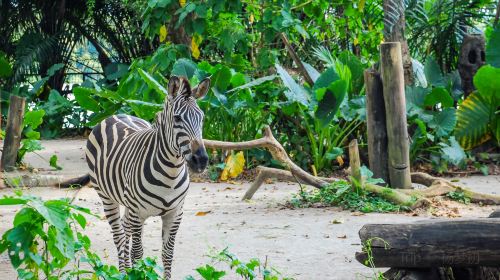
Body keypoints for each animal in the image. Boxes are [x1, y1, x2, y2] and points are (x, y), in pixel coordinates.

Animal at [85, 75, 210, 278]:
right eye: (177, 118)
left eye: (202, 118)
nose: (201, 160)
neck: (171, 174)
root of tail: (116, 114)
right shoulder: (138, 213)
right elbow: (137, 253)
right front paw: (135, 273)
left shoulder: (175, 213)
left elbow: (167, 254)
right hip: (106, 197)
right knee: (119, 236)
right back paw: (123, 273)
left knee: (124, 230)